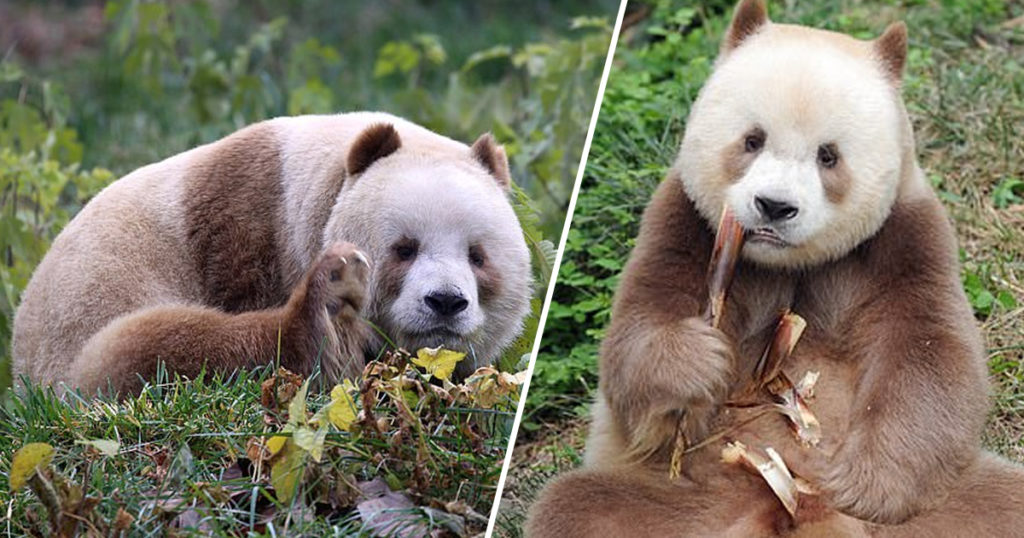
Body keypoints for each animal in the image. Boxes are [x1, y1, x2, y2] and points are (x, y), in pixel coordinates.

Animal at [12, 112, 532, 395]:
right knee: (151, 350)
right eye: (404, 248)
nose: (445, 302)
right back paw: (325, 318)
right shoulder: (249, 226)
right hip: (84, 327)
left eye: (477, 256)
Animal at [525, 1, 1024, 536]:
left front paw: (865, 486)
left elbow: (928, 355)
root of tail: (792, 510)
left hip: (945, 507)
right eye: (752, 140)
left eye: (828, 155)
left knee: (1001, 503)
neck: (790, 263)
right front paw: (698, 364)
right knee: (577, 506)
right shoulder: (687, 224)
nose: (774, 206)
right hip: (684, 503)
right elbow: (638, 333)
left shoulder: (904, 239)